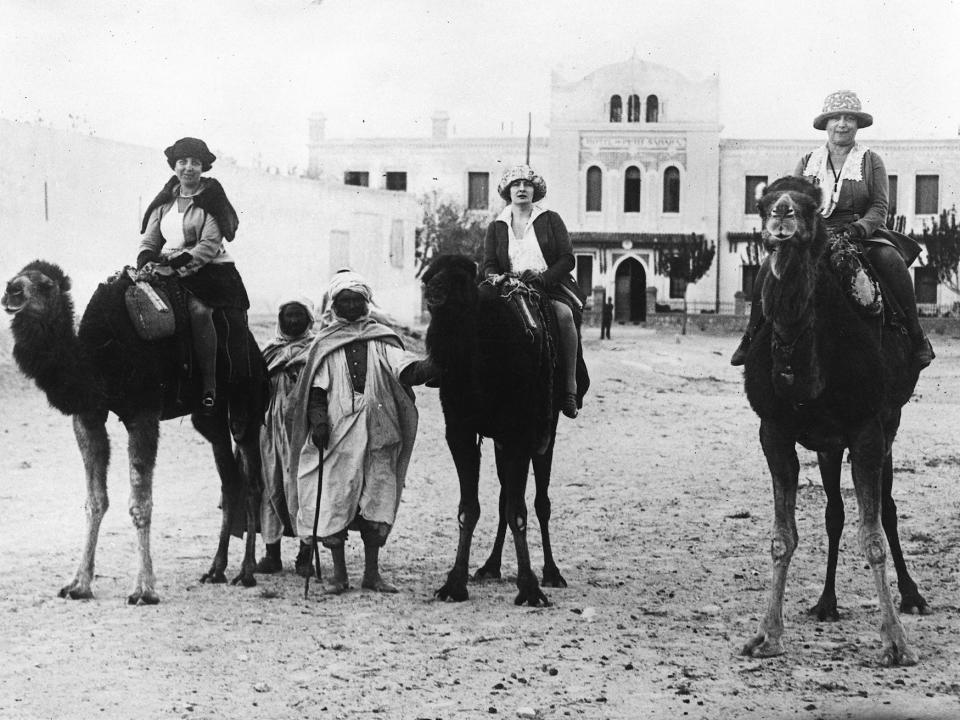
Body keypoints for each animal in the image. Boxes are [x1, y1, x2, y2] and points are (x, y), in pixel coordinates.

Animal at [2, 258, 266, 600]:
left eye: (46, 285)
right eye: (15, 276)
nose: (12, 291)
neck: (99, 359)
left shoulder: (144, 413)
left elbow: (140, 504)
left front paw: (144, 589)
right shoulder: (88, 415)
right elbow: (95, 500)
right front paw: (78, 584)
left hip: (246, 404)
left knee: (253, 480)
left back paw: (246, 572)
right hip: (210, 417)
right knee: (230, 480)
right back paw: (215, 570)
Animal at [422, 256, 572, 604]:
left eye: (461, 280)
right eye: (430, 274)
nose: (433, 290)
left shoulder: (520, 432)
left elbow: (519, 509)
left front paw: (530, 588)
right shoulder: (460, 432)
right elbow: (470, 507)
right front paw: (454, 583)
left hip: (545, 428)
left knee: (540, 500)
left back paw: (551, 572)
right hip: (502, 440)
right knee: (506, 495)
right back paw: (490, 566)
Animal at [740, 177, 928, 668]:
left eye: (809, 206)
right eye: (764, 202)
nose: (782, 215)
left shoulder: (867, 427)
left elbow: (873, 535)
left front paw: (896, 642)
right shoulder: (774, 431)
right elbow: (783, 536)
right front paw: (767, 635)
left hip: (890, 420)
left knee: (887, 509)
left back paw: (912, 596)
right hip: (828, 443)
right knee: (834, 512)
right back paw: (826, 602)